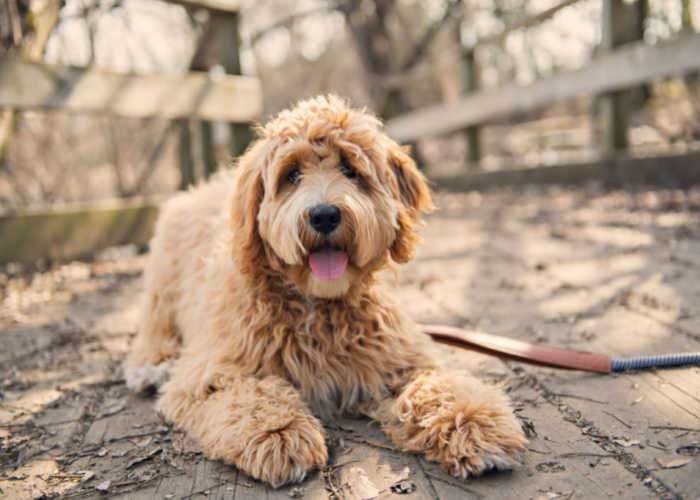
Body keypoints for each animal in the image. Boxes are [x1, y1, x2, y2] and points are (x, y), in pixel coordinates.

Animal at [124, 94, 524, 488]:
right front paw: (280, 433)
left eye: (351, 170)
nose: (324, 215)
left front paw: (473, 422)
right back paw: (151, 366)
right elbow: (248, 394)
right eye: (291, 175)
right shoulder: (209, 373)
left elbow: (436, 386)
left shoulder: (397, 361)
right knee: (155, 325)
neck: (317, 304)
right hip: (163, 282)